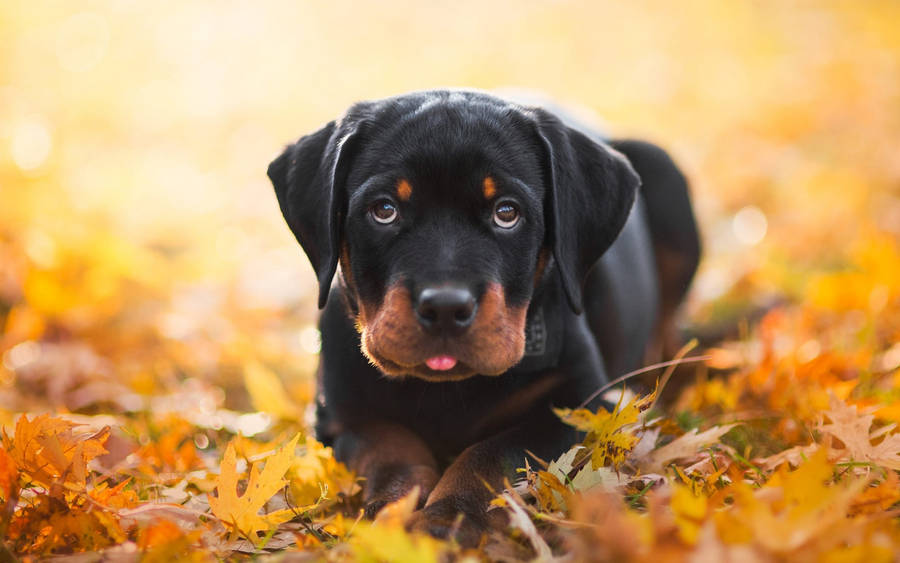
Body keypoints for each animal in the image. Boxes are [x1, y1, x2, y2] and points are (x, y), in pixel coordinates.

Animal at [264, 89, 700, 548]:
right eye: (384, 210)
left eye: (506, 213)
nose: (445, 307)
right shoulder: (341, 416)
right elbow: (392, 449)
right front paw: (392, 509)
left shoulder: (578, 405)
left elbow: (491, 456)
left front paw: (448, 516)